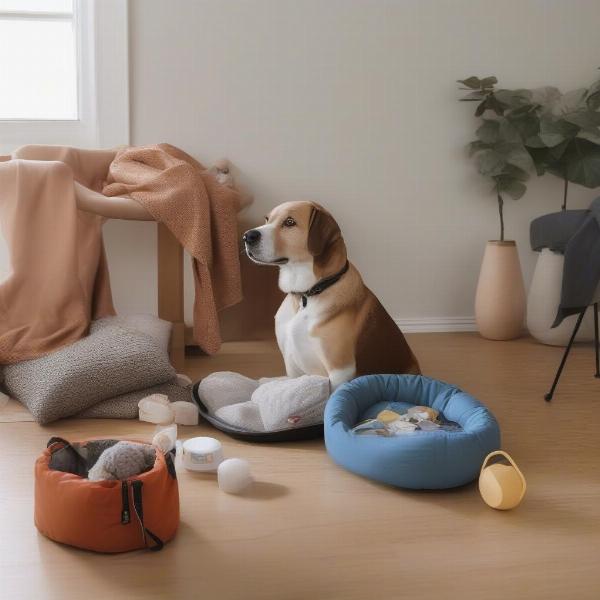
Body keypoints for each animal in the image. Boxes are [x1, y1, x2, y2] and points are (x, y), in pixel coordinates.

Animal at [241, 202, 420, 390]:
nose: (247, 236)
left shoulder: (340, 370)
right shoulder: (291, 366)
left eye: (290, 222)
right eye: (267, 219)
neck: (306, 296)